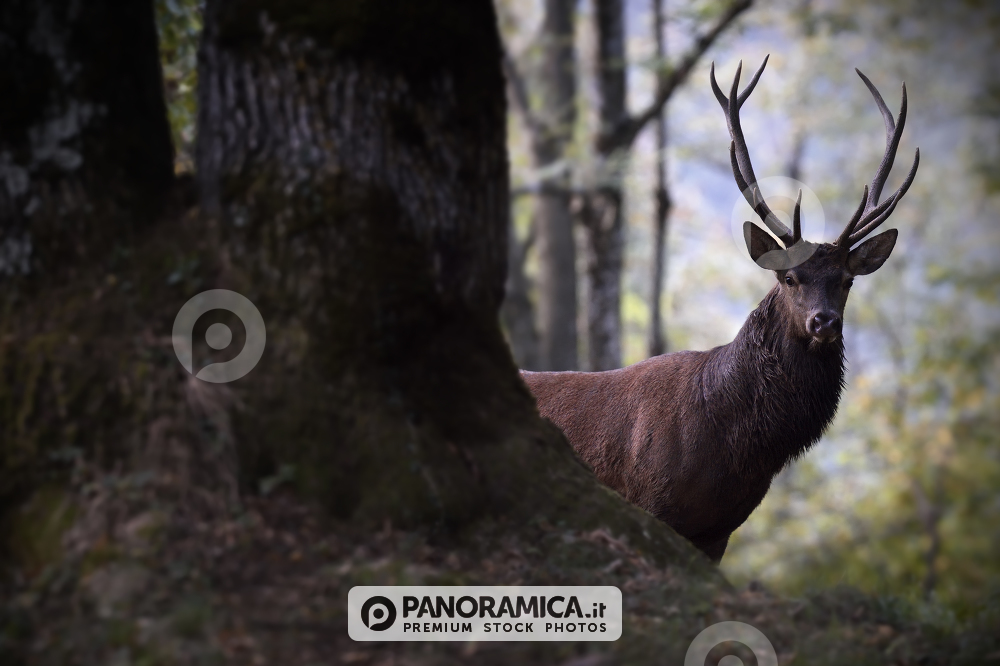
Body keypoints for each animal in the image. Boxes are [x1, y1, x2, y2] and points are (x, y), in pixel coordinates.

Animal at [521, 57, 919, 563]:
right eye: (789, 278)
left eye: (847, 281)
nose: (824, 321)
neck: (733, 446)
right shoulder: (650, 501)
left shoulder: (718, 532)